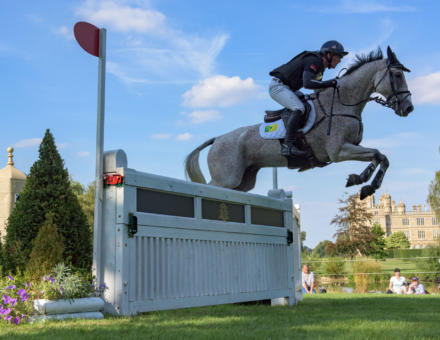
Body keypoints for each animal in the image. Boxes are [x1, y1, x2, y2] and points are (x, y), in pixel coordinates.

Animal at [185, 45, 412, 199]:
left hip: (242, 181)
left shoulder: (350, 147)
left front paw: (364, 185)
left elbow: (381, 157)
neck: (343, 102)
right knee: (207, 186)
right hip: (226, 178)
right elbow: (376, 154)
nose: (409, 108)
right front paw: (361, 180)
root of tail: (217, 139)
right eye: (397, 75)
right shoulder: (339, 151)